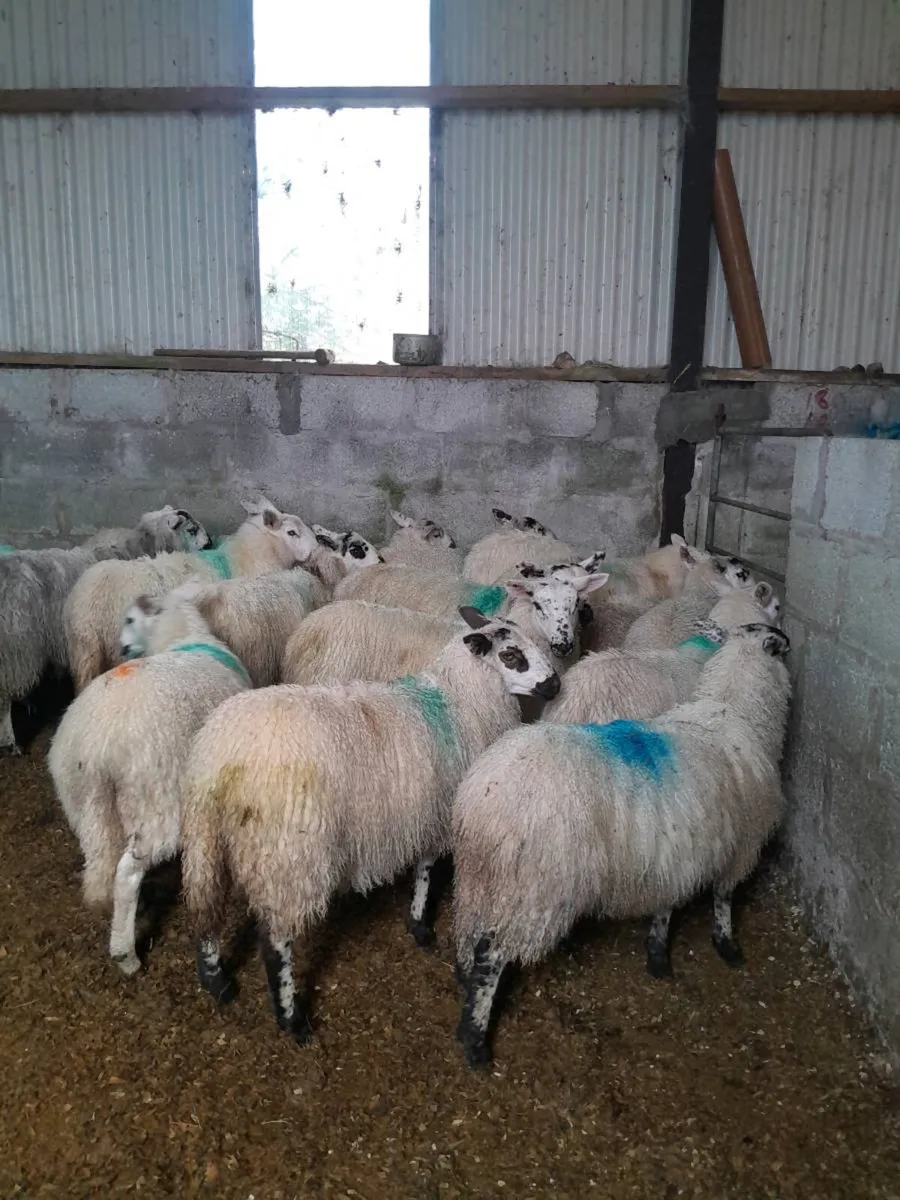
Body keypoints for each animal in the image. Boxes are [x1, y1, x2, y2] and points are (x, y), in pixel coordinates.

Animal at [47, 591, 252, 976]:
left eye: (129, 618)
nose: (121, 646)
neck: (182, 636)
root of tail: (97, 746)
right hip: (154, 798)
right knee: (127, 871)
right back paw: (126, 954)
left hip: (83, 802)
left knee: (103, 861)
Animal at [181, 607, 561, 1039]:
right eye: (512, 655)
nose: (555, 684)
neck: (458, 703)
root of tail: (220, 755)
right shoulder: (435, 812)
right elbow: (426, 869)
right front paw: (420, 923)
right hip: (289, 855)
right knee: (275, 942)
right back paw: (292, 1019)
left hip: (205, 840)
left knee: (205, 910)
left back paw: (216, 981)